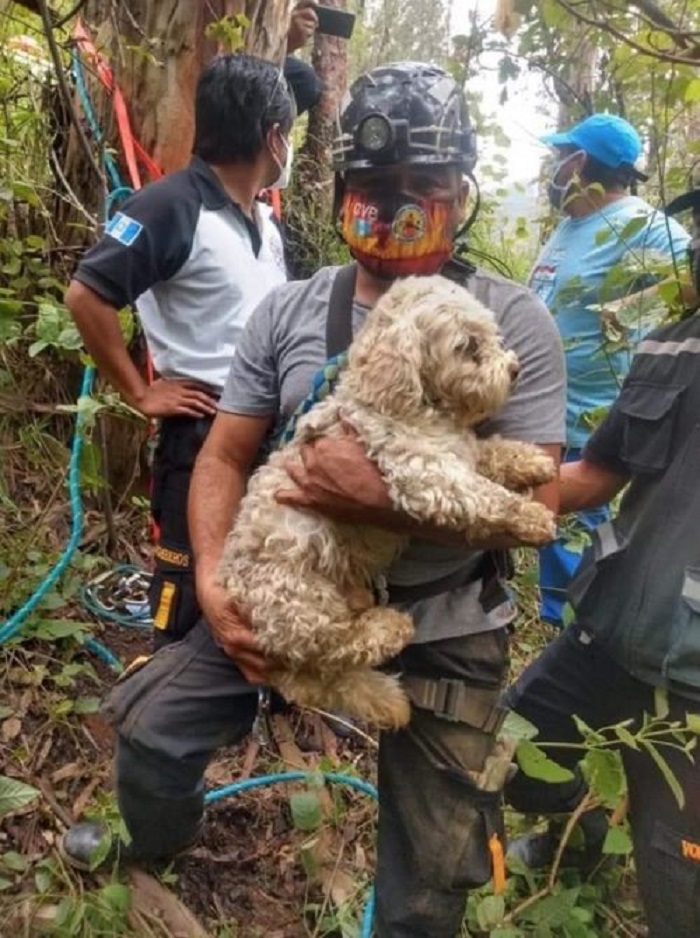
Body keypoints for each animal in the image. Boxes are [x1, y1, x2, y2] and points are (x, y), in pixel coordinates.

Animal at [219, 274, 556, 728]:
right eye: (468, 346)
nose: (515, 369)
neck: (413, 405)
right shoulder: (422, 473)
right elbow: (484, 494)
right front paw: (532, 516)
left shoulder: (461, 452)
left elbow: (489, 452)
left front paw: (531, 461)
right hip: (298, 596)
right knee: (335, 646)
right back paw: (389, 627)